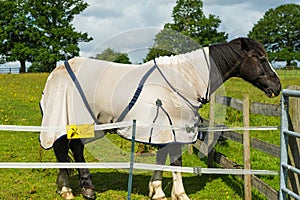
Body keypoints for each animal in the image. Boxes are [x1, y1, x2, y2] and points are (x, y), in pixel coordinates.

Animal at [39, 37, 282, 198]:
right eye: (261, 58)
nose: (277, 87)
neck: (185, 79)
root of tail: (57, 71)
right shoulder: (175, 128)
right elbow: (175, 161)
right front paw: (179, 194)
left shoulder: (164, 129)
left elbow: (161, 158)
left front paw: (157, 191)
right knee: (74, 149)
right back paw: (82, 190)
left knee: (67, 150)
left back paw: (67, 188)